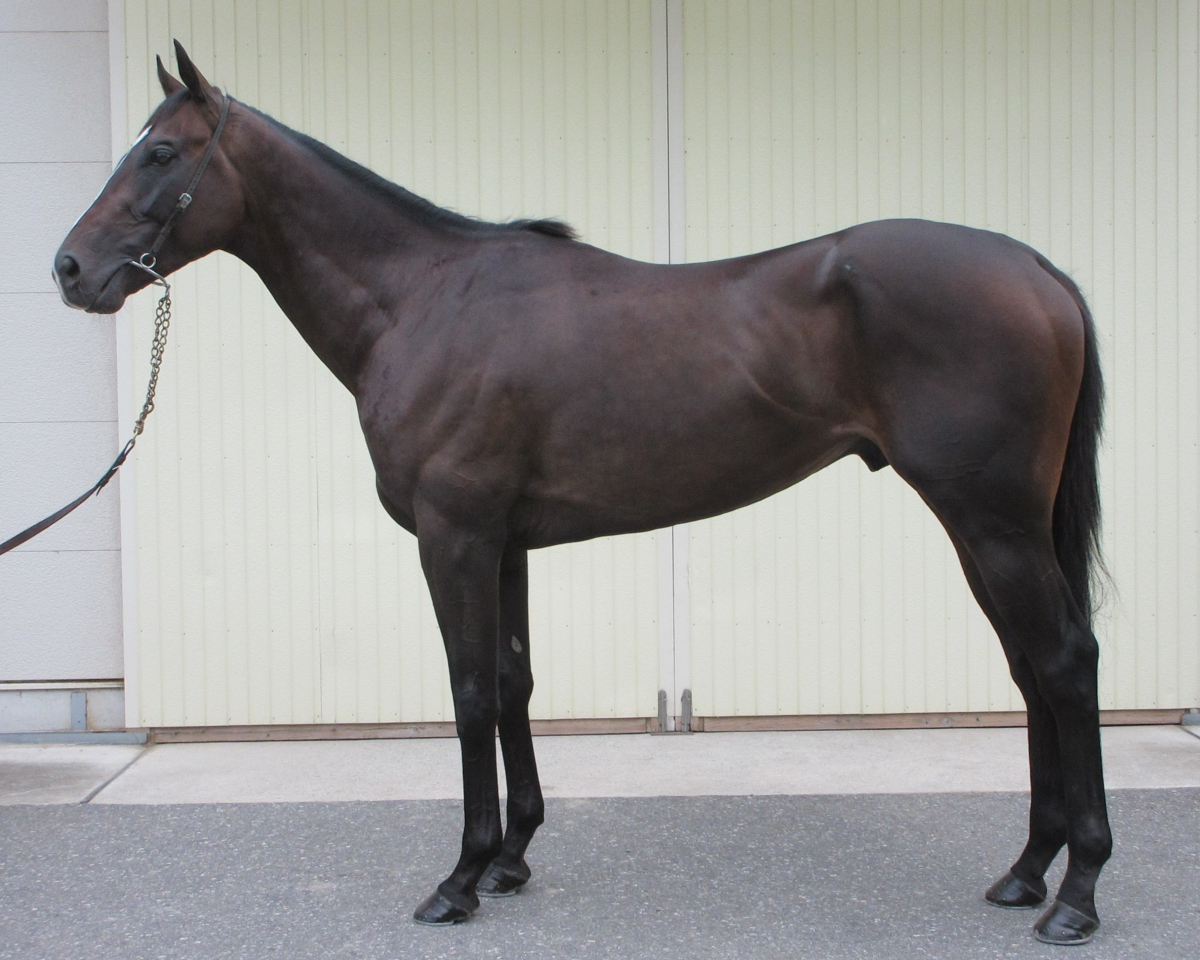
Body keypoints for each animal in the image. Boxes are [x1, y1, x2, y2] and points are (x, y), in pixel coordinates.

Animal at [53, 43, 1109, 945]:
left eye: (161, 152)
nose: (69, 268)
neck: (421, 299)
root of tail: (1037, 270)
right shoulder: (505, 543)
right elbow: (513, 682)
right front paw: (511, 859)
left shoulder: (453, 538)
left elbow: (469, 692)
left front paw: (459, 879)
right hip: (989, 531)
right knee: (1030, 669)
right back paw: (1027, 872)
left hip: (994, 522)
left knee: (1064, 661)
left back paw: (1078, 894)